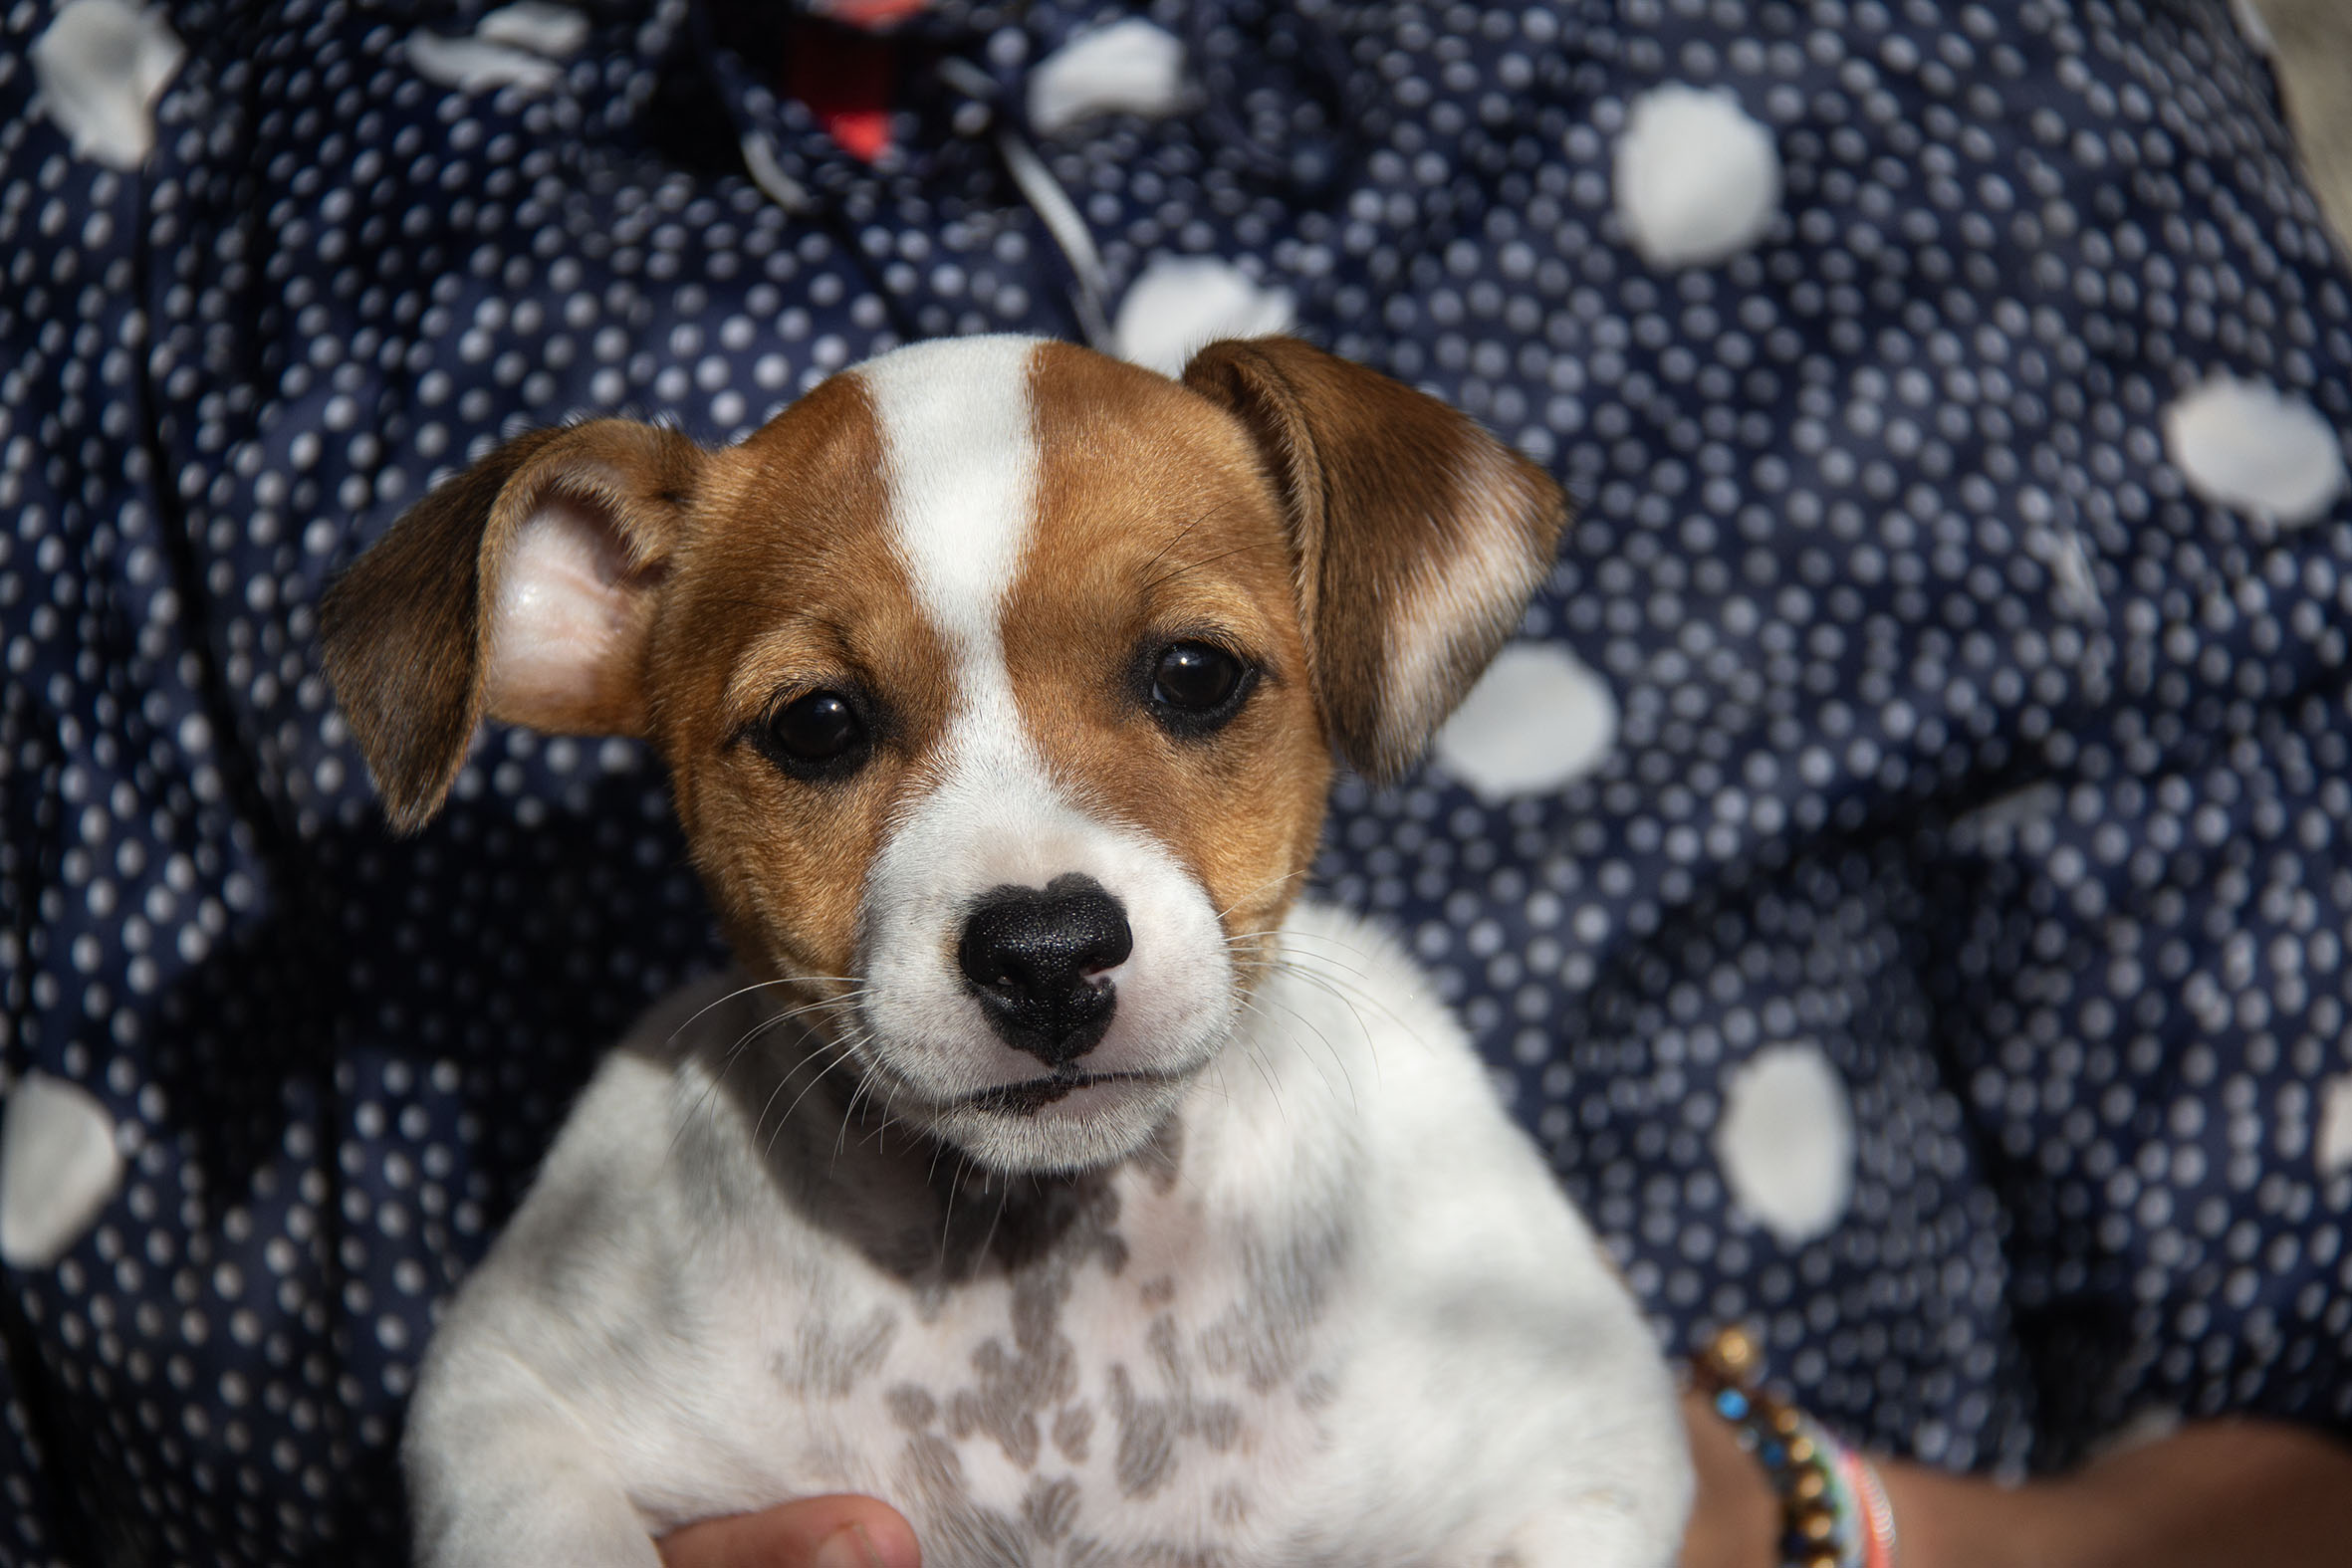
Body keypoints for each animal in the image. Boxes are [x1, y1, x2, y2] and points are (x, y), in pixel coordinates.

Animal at [320, 334, 1692, 1568]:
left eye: (1194, 674)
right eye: (817, 724)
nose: (1046, 957)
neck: (1040, 1281)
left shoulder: (1586, 1451)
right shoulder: (507, 1409)